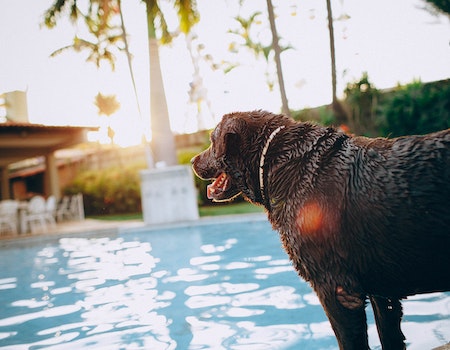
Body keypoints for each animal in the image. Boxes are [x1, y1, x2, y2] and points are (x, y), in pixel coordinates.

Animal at [191, 111, 450, 350]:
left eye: (212, 141)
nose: (192, 160)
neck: (282, 164)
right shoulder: (383, 291)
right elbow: (390, 337)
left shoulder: (335, 288)